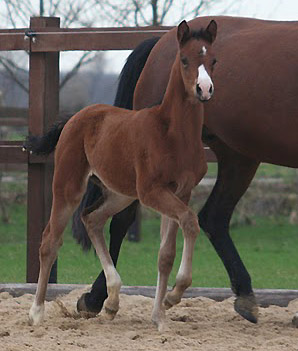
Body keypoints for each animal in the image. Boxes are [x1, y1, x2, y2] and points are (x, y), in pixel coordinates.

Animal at [26, 20, 217, 332]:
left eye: (213, 60)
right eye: (184, 59)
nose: (204, 89)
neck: (173, 133)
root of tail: (74, 118)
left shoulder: (180, 191)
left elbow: (165, 254)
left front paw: (160, 314)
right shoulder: (153, 192)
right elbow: (190, 220)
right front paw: (173, 296)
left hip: (120, 193)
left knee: (92, 219)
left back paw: (113, 300)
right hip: (68, 187)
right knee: (50, 241)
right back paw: (37, 311)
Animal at [74, 15, 298, 326]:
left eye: (215, 61)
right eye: (186, 61)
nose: (205, 88)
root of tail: (161, 41)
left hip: (237, 157)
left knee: (213, 217)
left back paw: (244, 297)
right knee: (122, 220)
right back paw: (97, 298)